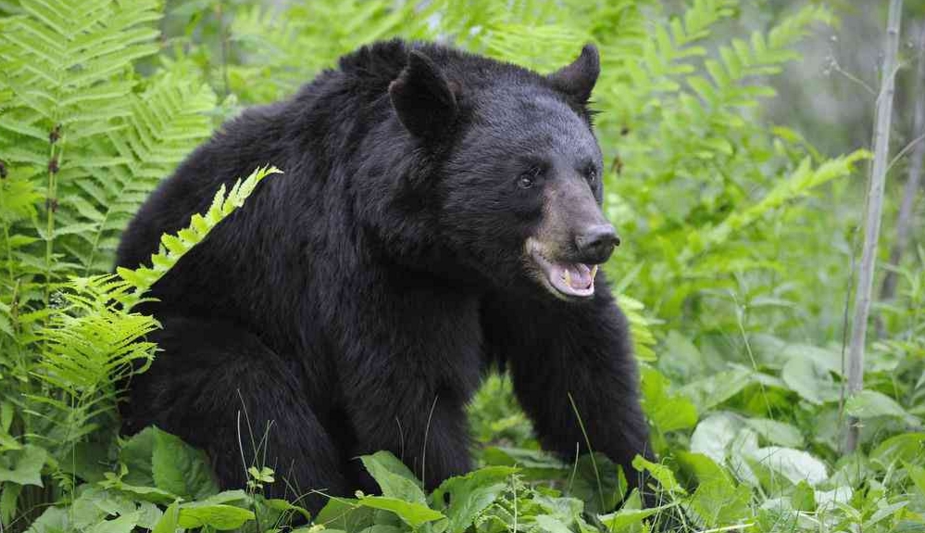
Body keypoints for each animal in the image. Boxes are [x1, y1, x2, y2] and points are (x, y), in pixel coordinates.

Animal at [116, 39, 652, 512]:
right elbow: (408, 399)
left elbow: (583, 377)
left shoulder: (525, 291)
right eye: (528, 176)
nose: (597, 238)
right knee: (252, 401)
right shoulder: (374, 270)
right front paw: (459, 500)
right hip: (167, 343)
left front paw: (644, 489)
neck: (456, 256)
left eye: (589, 171)